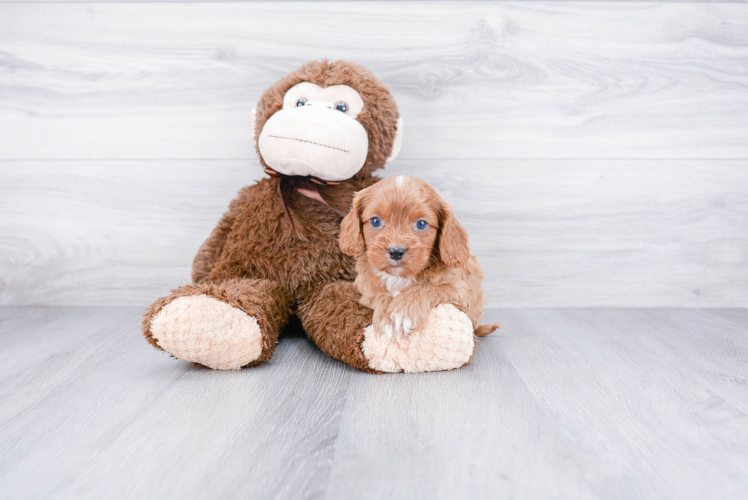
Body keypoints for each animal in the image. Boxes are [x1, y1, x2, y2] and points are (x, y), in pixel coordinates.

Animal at [338, 174, 496, 338]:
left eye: (421, 224)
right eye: (375, 221)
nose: (396, 252)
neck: (399, 277)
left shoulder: (463, 294)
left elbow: (430, 287)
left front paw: (404, 311)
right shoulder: (364, 288)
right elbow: (378, 294)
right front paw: (387, 316)